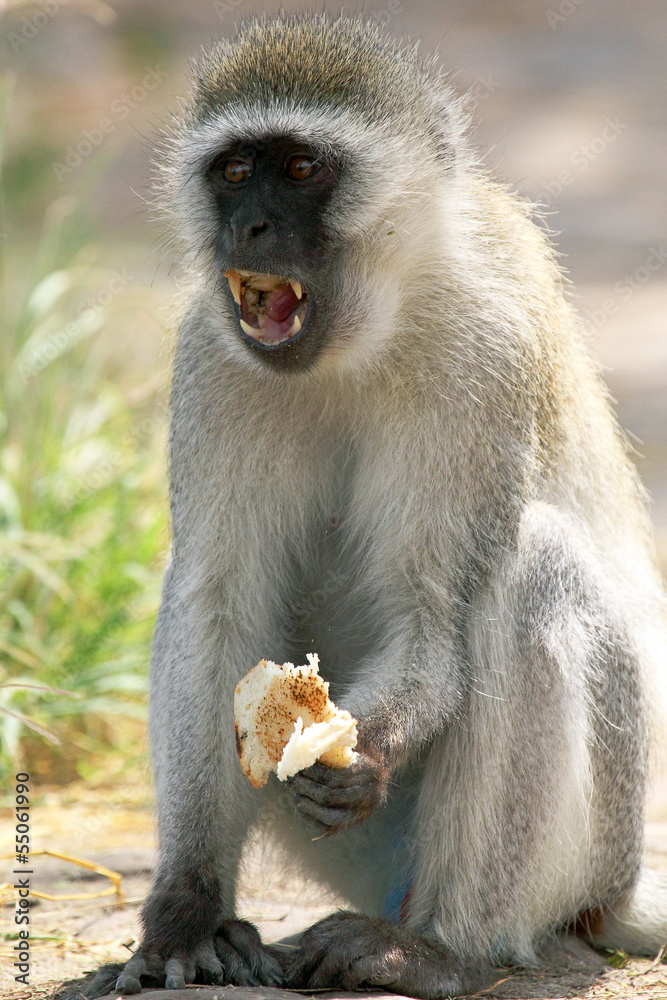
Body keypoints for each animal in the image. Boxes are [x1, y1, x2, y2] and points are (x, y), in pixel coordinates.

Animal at [107, 13, 667, 1000]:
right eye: (233, 171)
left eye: (300, 168)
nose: (247, 227)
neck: (364, 333)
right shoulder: (212, 358)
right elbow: (215, 602)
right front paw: (185, 908)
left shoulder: (483, 354)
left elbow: (431, 615)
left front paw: (363, 746)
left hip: (599, 845)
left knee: (532, 569)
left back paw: (440, 947)